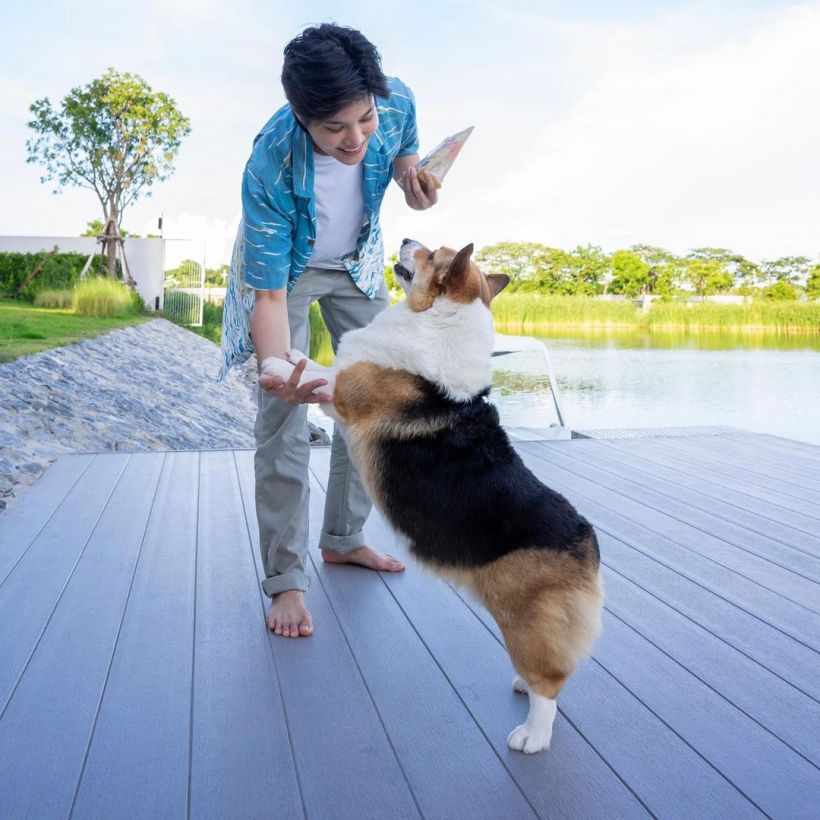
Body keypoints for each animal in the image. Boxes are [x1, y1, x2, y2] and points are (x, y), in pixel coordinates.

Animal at [262, 240, 604, 752]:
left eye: (431, 254)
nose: (404, 238)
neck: (436, 320)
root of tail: (587, 540)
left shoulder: (347, 394)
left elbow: (322, 376)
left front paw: (276, 364)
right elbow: (318, 364)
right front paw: (288, 351)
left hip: (524, 619)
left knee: (551, 684)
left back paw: (531, 733)